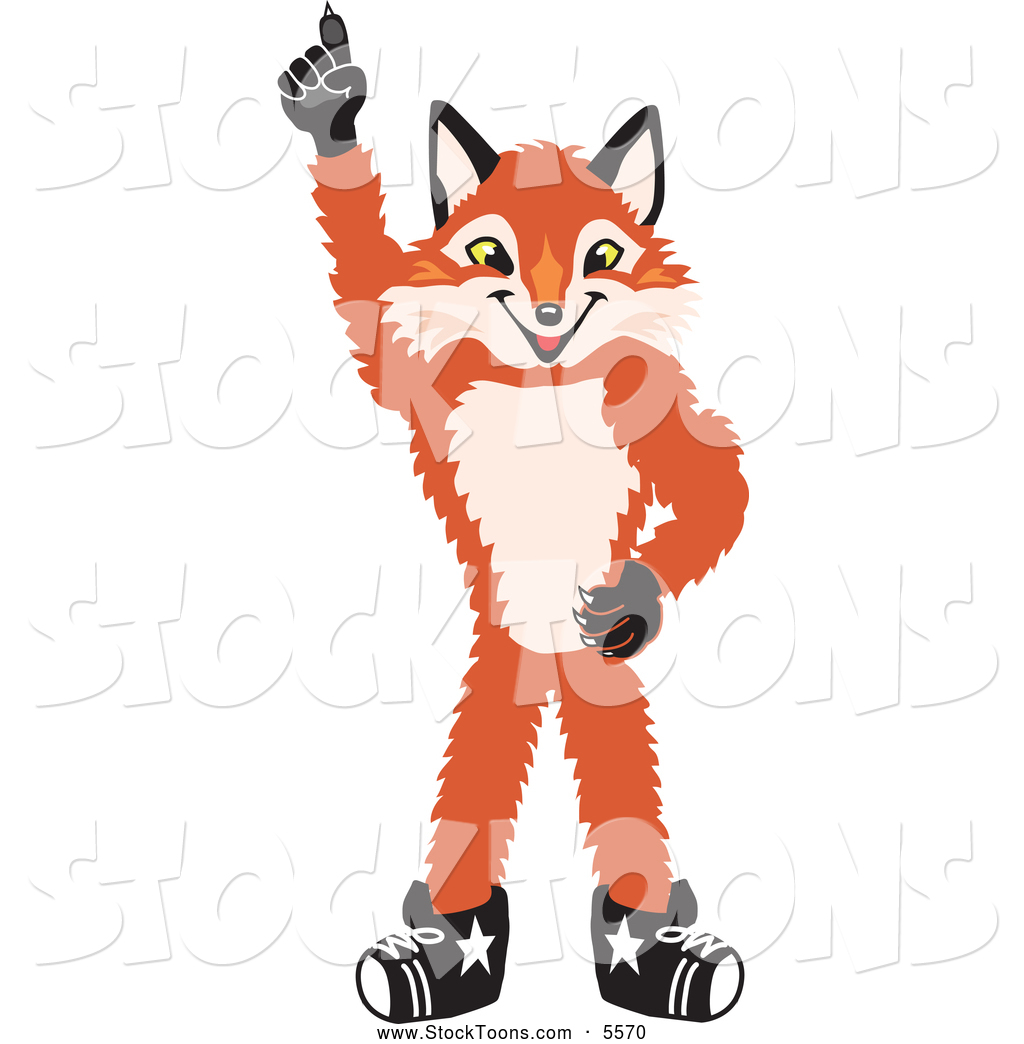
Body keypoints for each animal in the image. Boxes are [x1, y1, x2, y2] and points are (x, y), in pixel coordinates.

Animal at [280, 5, 749, 1026]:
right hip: (497, 673)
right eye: (488, 253)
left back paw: (654, 951)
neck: (544, 383)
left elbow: (715, 486)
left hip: (599, 682)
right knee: (474, 798)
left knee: (625, 803)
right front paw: (334, 112)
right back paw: (440, 954)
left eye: (601, 256)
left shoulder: (653, 406)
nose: (544, 312)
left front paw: (638, 596)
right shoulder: (419, 378)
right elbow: (368, 304)